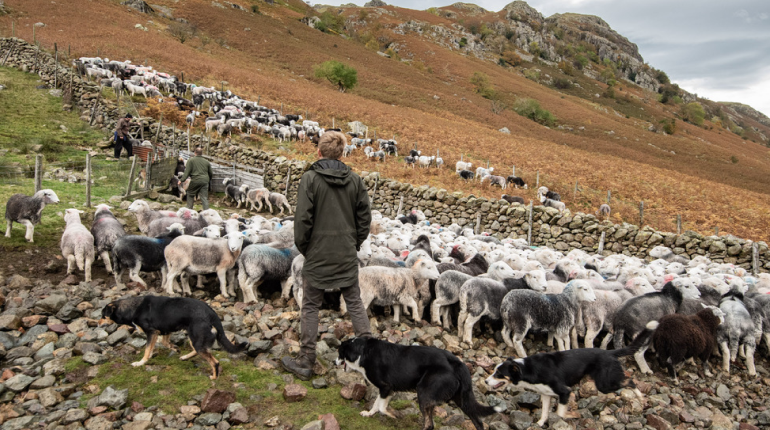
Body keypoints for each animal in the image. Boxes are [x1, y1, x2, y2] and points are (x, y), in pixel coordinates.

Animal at [102, 296, 244, 380]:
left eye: (103, 316)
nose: (98, 323)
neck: (132, 308)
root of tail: (212, 313)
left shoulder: (152, 332)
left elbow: (147, 350)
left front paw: (141, 362)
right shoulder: (164, 330)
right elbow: (163, 343)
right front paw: (175, 348)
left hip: (196, 337)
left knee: (214, 361)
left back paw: (214, 377)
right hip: (194, 337)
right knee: (198, 350)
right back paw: (185, 357)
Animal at [332, 338, 500, 428]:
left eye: (339, 353)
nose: (334, 362)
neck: (362, 351)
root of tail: (456, 361)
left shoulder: (385, 387)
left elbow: (379, 406)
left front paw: (391, 415)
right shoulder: (389, 389)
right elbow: (378, 405)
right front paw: (371, 414)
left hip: (423, 392)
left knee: (429, 425)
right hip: (462, 399)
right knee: (478, 422)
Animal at [484, 330, 652, 426]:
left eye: (498, 374)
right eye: (494, 371)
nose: (485, 381)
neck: (528, 369)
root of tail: (610, 352)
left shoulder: (564, 392)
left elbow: (559, 413)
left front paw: (567, 417)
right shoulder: (545, 394)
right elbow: (544, 412)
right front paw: (540, 423)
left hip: (604, 383)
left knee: (629, 381)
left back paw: (640, 398)